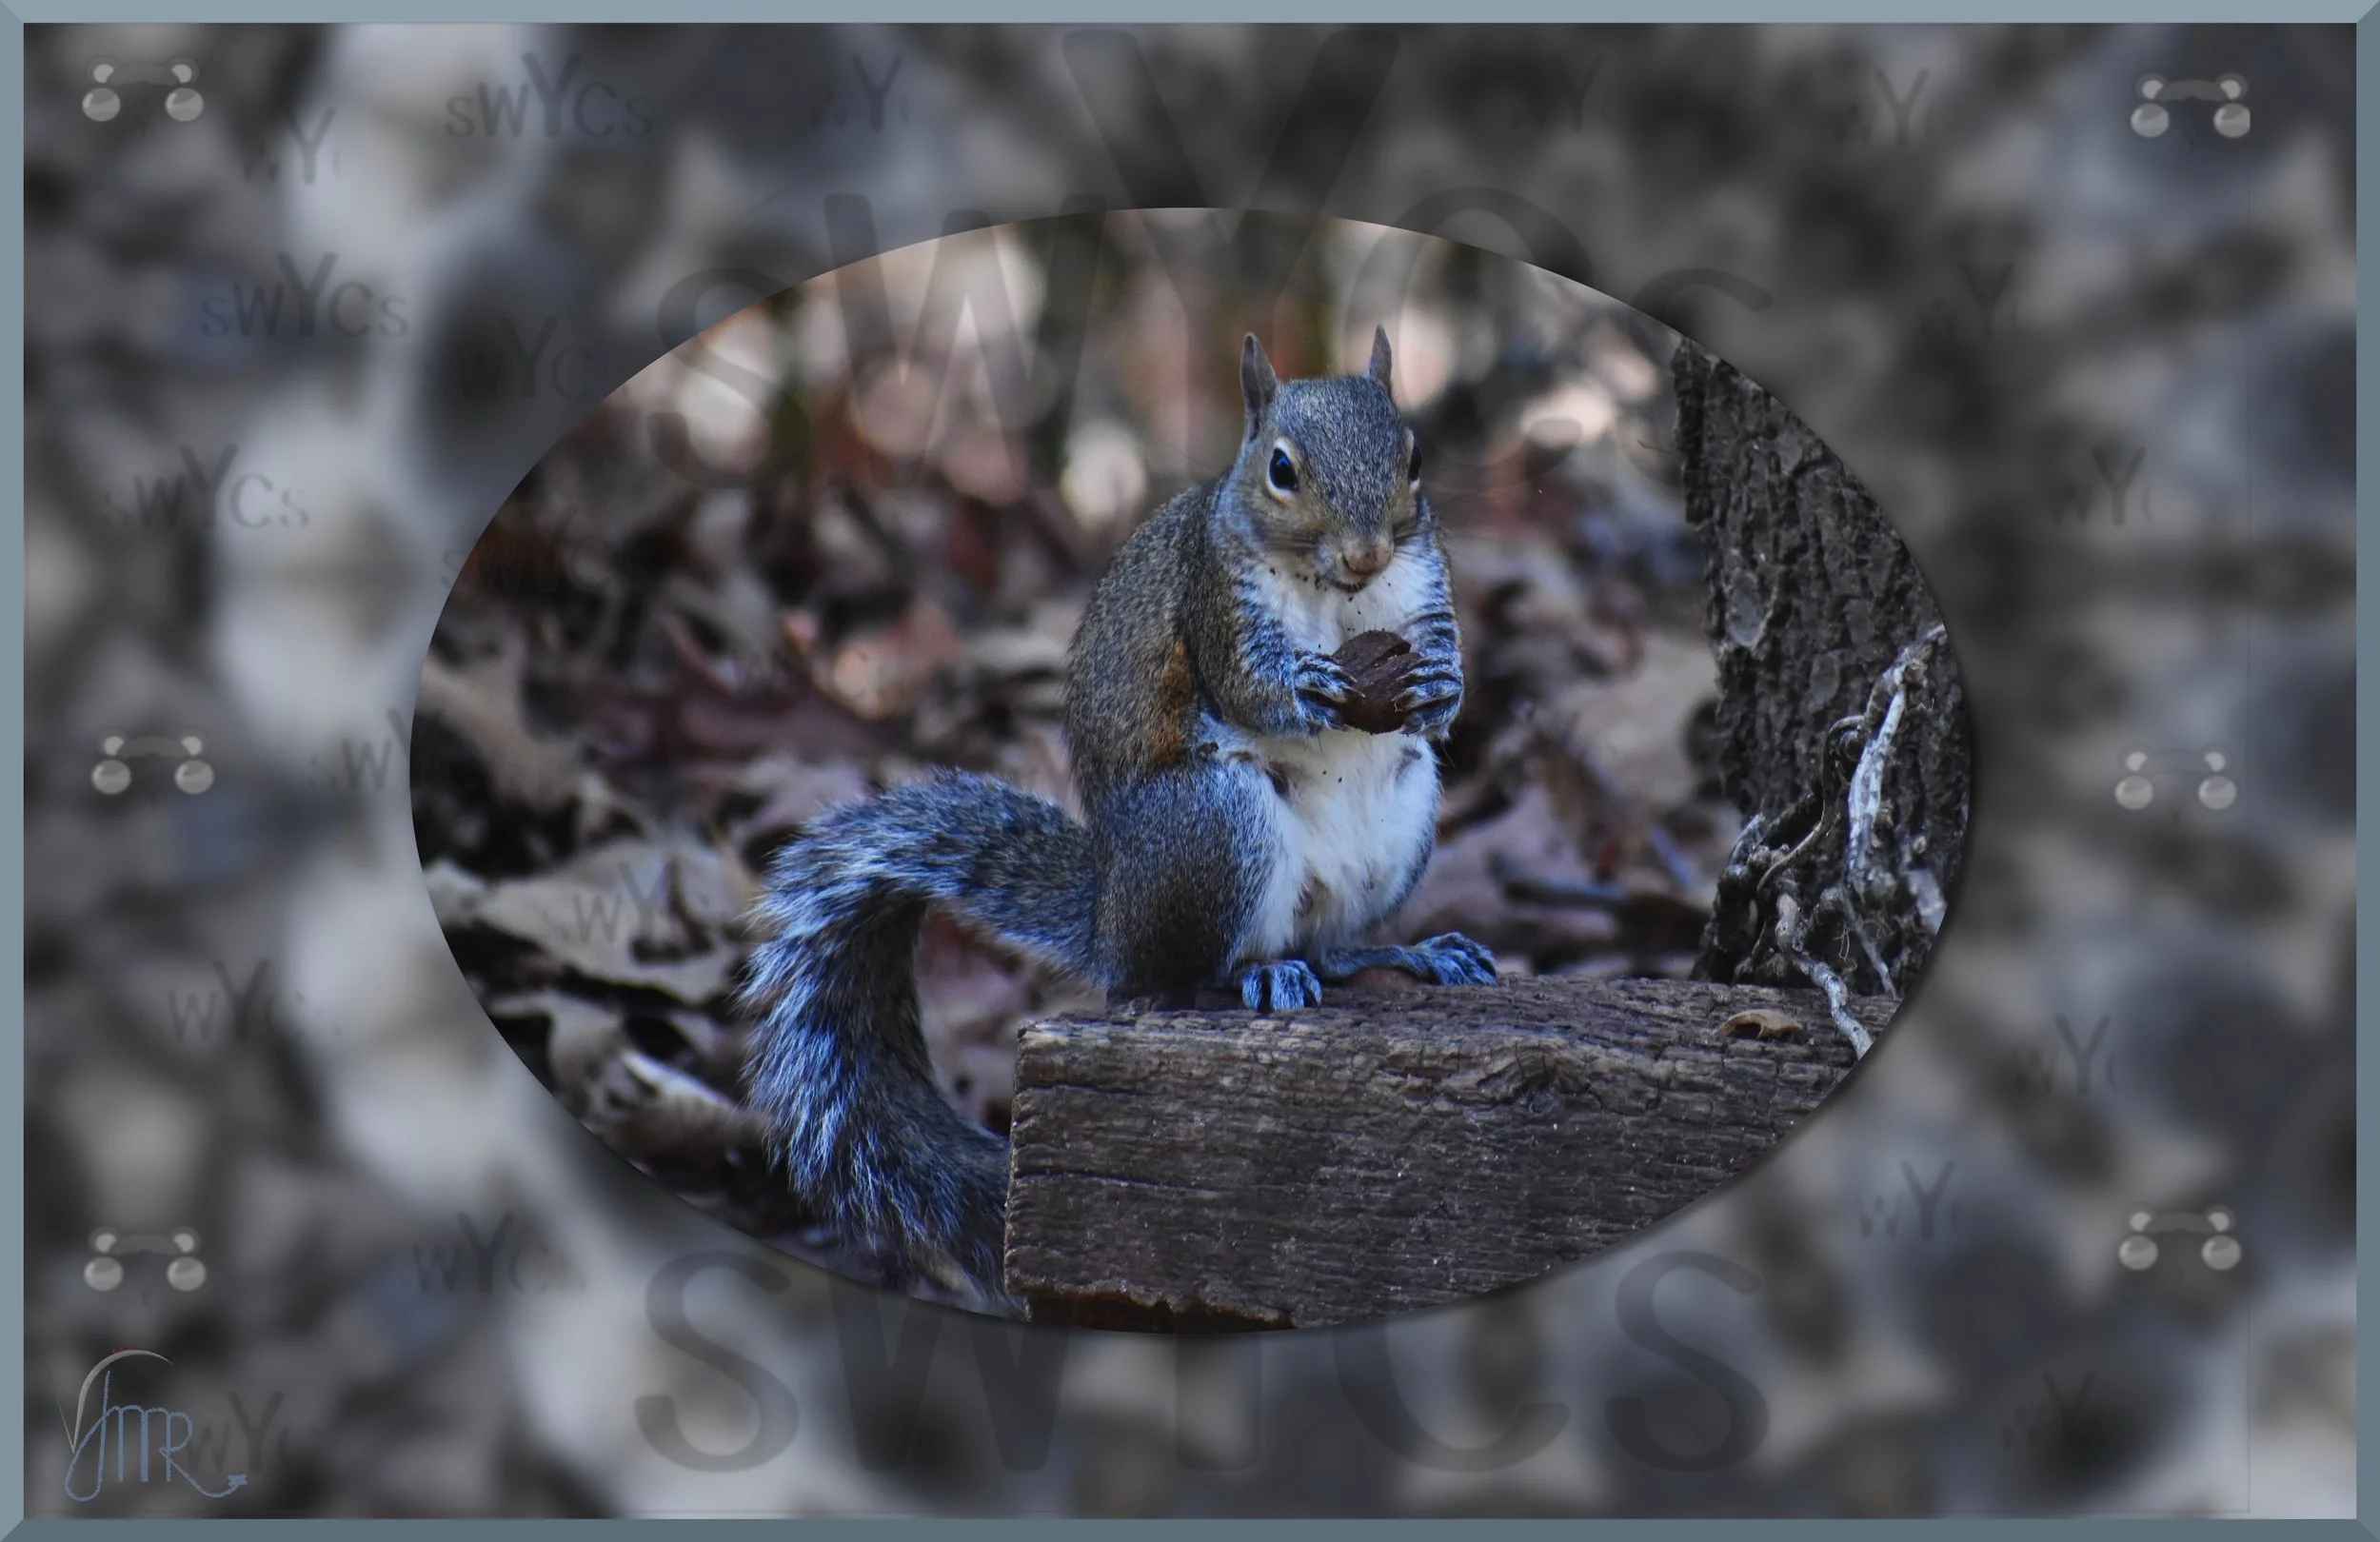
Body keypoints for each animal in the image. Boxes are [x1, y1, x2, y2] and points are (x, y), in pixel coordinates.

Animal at [738, 328, 1498, 1312]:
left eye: (1413, 458)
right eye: (1281, 469)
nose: (1370, 553)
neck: (1340, 595)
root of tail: (1113, 919)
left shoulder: (1420, 585)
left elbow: (1438, 661)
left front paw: (1443, 686)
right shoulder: (1216, 602)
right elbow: (1247, 687)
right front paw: (1307, 690)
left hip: (1400, 822)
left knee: (1328, 948)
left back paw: (1402, 954)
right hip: (1213, 828)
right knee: (1177, 980)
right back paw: (1252, 977)